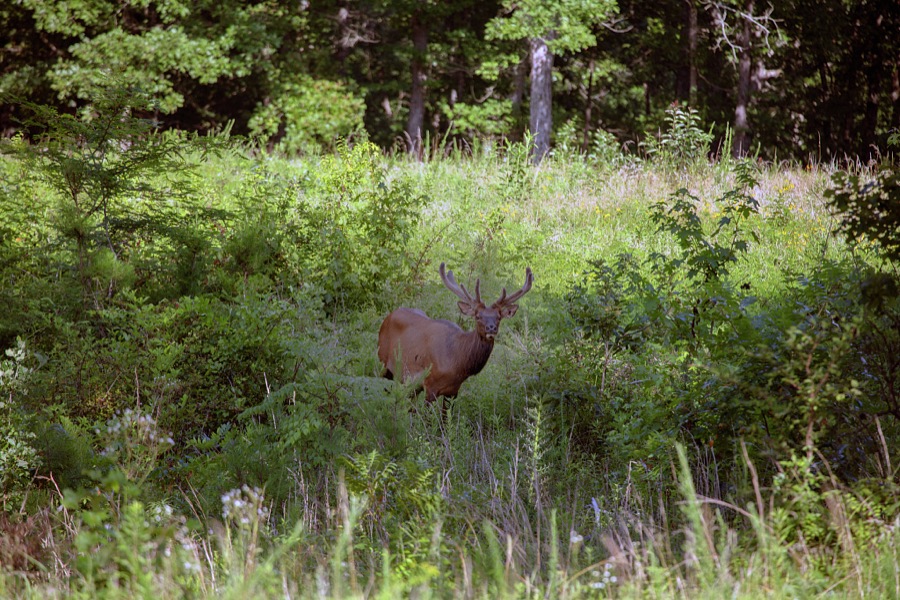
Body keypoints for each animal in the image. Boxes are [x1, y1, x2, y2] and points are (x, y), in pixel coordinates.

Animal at [378, 262, 533, 405]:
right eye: (477, 316)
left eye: (499, 317)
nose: (491, 328)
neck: (456, 363)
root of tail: (389, 316)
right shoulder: (430, 385)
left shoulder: (452, 392)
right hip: (383, 363)